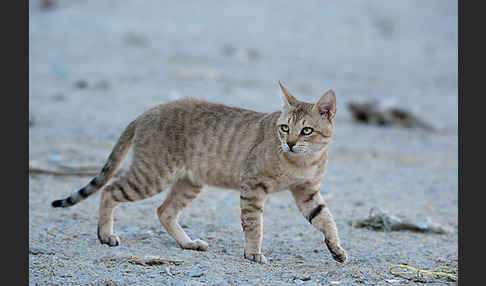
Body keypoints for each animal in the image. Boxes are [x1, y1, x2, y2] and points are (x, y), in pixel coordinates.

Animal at [52, 80, 350, 264]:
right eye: (285, 127)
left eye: (307, 130)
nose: (289, 143)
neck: (302, 162)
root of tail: (147, 112)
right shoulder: (252, 186)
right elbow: (254, 224)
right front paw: (253, 253)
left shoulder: (306, 192)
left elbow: (326, 219)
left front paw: (336, 249)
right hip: (152, 175)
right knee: (110, 190)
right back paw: (105, 235)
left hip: (189, 182)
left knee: (164, 211)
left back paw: (187, 243)